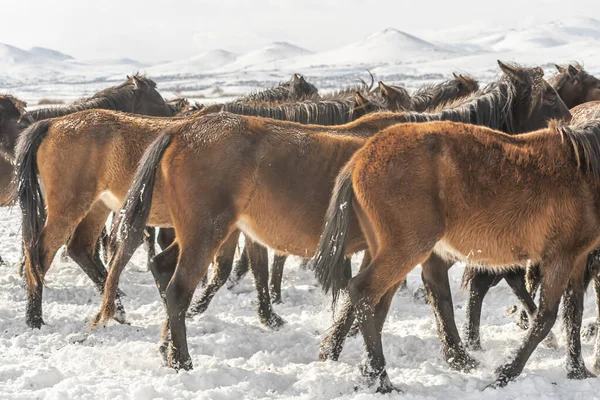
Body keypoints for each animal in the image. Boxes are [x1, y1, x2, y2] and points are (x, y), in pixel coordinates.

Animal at [84, 63, 568, 376]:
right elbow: (435, 298)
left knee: (163, 269)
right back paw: (182, 359)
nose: (571, 125)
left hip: (195, 234)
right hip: (208, 233)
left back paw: (166, 347)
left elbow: (376, 301)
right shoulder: (419, 249)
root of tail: (180, 129)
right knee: (179, 289)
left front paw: (335, 348)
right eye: (550, 94)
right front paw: (458, 356)